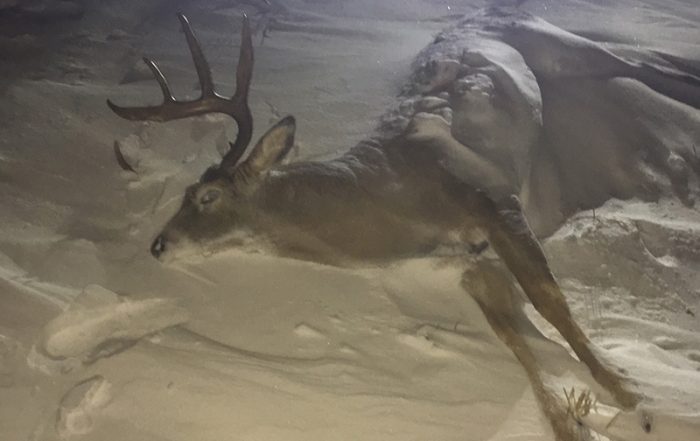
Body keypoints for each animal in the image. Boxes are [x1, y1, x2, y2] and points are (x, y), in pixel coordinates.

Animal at [107, 13, 646, 441]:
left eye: (206, 196)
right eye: (181, 194)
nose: (158, 245)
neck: (387, 199)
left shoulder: (494, 201)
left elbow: (552, 304)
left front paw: (632, 398)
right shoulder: (466, 265)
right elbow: (519, 342)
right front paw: (569, 422)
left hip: (570, 49)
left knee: (632, 65)